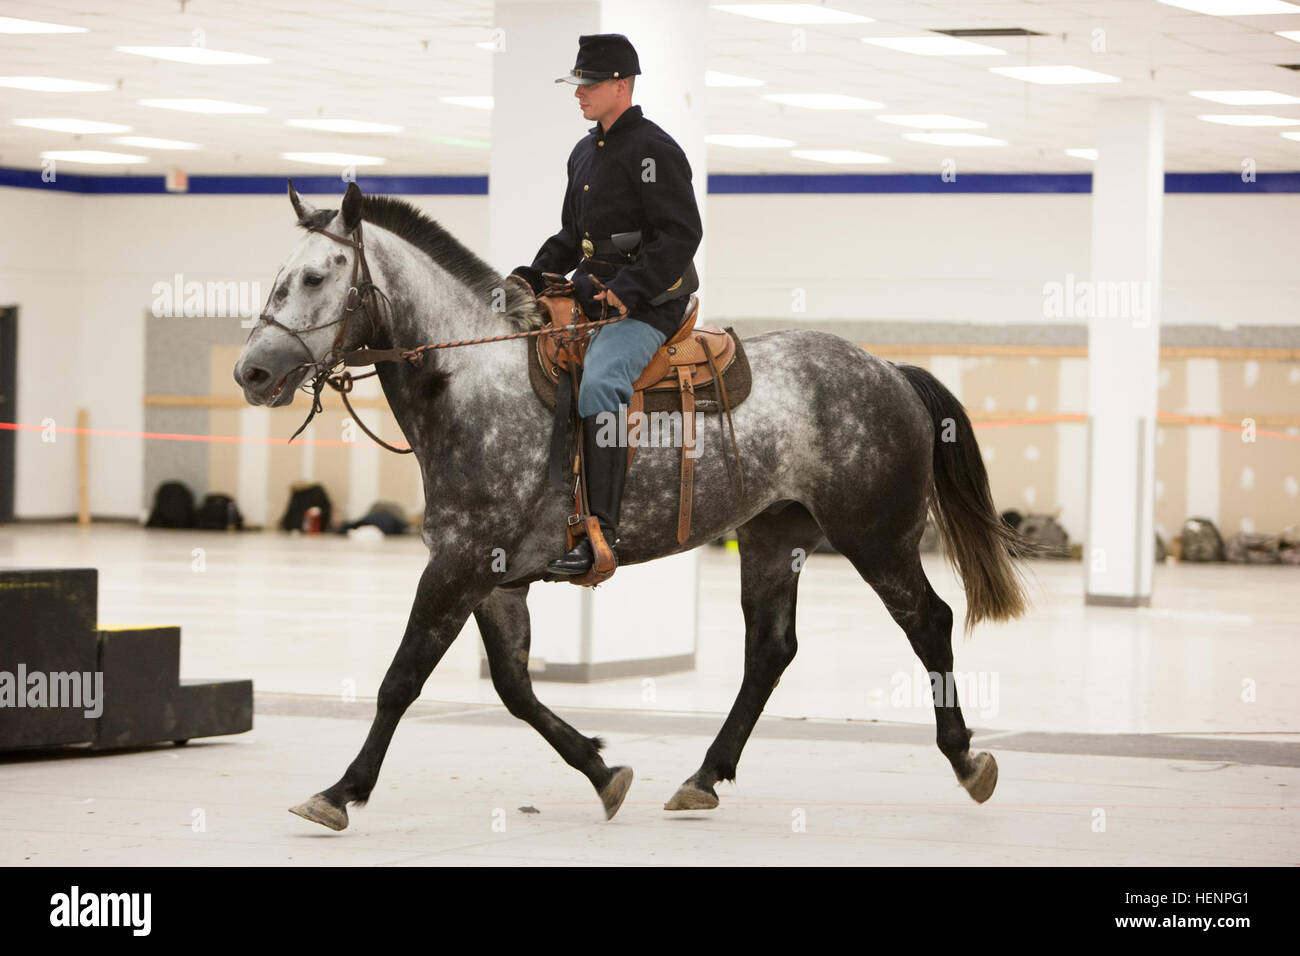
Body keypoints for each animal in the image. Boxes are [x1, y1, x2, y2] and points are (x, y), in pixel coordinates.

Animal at [233, 179, 1024, 832]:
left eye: (313, 277)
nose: (252, 371)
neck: (472, 377)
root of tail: (889, 369)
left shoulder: (458, 568)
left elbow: (400, 681)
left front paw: (341, 791)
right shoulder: (493, 578)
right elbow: (515, 688)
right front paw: (601, 768)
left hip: (876, 537)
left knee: (929, 622)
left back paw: (965, 759)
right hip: (774, 537)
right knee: (769, 651)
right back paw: (705, 776)